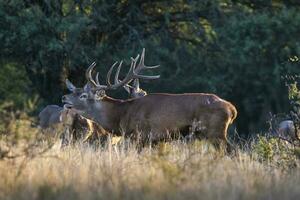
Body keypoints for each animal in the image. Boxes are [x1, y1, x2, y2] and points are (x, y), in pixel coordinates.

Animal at [62, 48, 238, 150]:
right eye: (75, 91)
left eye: (83, 95)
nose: (64, 97)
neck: (121, 115)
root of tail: (232, 109)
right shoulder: (154, 141)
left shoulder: (139, 135)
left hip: (215, 131)